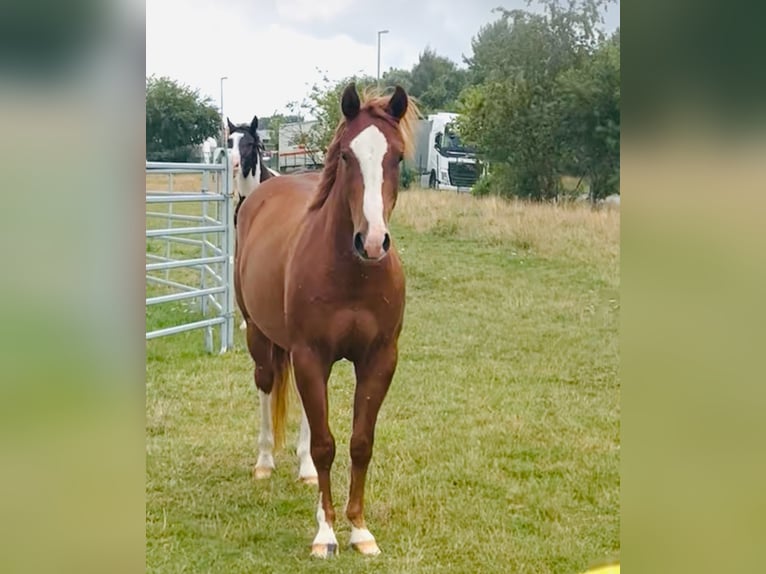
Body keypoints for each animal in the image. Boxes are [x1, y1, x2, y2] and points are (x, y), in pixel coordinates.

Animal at [234, 82, 418, 558]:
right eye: (347, 156)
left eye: (397, 157)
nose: (372, 241)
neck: (352, 273)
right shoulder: (310, 355)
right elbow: (324, 444)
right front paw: (325, 532)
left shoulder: (378, 360)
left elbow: (359, 443)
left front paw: (359, 529)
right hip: (260, 336)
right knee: (265, 385)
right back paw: (265, 462)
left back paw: (302, 472)